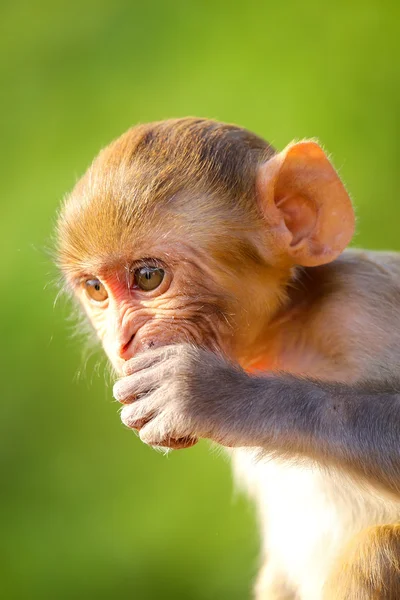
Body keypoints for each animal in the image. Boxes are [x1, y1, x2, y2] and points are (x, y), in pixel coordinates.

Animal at [57, 118, 400, 600]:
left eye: (148, 276)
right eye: (96, 289)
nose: (123, 343)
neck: (285, 332)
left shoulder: (364, 306)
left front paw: (213, 395)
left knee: (376, 550)